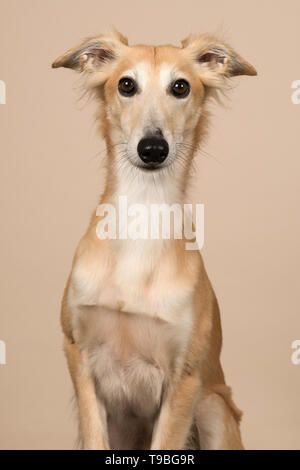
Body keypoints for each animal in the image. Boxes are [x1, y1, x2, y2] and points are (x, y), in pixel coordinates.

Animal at [52, 31, 256, 450]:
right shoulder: (77, 352)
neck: (141, 217)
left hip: (213, 407)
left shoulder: (186, 378)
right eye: (126, 85)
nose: (152, 149)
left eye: (180, 87)